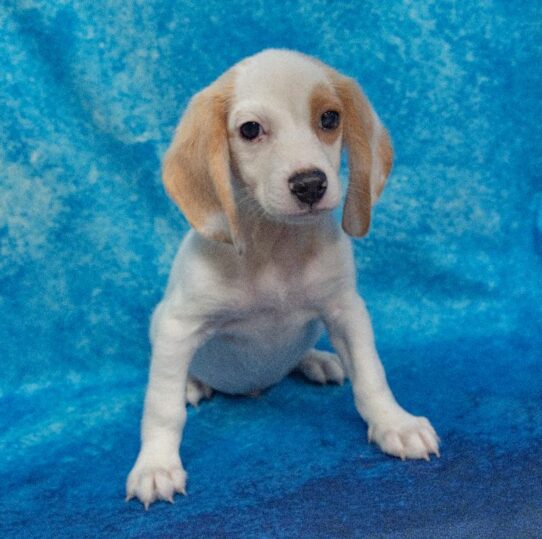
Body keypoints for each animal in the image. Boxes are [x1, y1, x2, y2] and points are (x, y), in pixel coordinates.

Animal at [127, 48, 442, 508]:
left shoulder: (346, 310)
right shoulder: (177, 326)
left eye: (329, 118)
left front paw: (394, 424)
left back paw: (318, 360)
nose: (310, 184)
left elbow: (372, 376)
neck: (276, 246)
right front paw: (155, 465)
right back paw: (193, 384)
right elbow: (162, 409)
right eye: (250, 129)